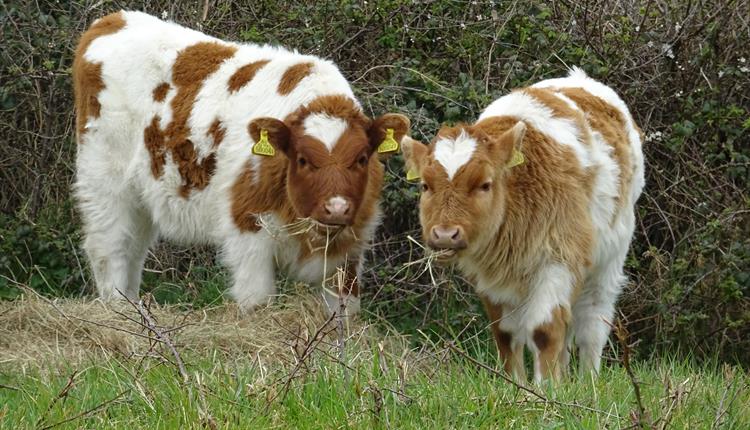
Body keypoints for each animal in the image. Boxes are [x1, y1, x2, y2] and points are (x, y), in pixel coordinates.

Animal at [73, 11, 412, 314]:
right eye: (303, 159)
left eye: (361, 158)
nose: (337, 207)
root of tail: (114, 19)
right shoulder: (248, 229)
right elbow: (257, 301)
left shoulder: (351, 250)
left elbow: (342, 315)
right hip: (104, 180)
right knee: (110, 246)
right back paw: (118, 310)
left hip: (142, 196)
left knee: (135, 249)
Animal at [406, 68, 648, 382]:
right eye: (425, 185)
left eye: (485, 184)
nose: (445, 234)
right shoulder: (490, 277)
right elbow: (506, 333)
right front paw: (517, 384)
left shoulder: (557, 259)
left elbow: (543, 329)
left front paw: (546, 387)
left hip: (610, 257)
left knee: (593, 322)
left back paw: (588, 381)